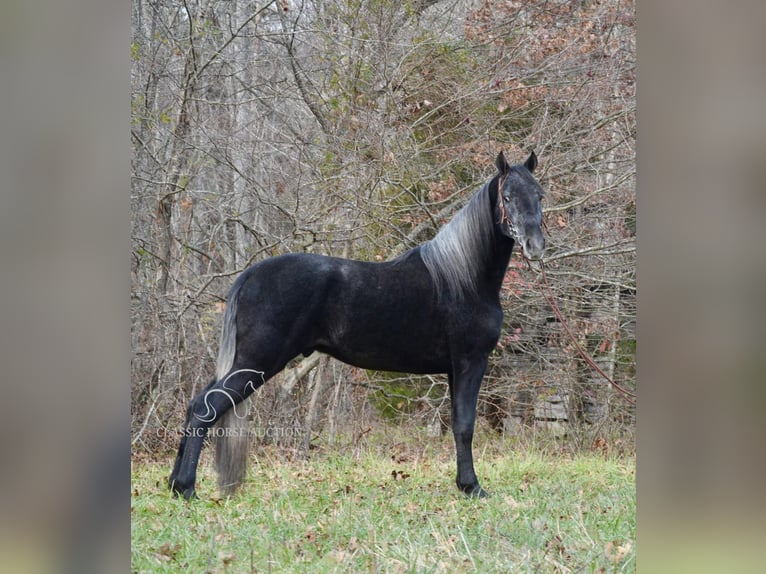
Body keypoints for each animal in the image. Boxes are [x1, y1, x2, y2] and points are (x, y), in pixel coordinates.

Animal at [171, 151, 548, 502]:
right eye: (507, 196)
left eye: (539, 194)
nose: (535, 245)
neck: (464, 278)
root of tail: (250, 275)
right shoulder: (471, 362)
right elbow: (466, 425)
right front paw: (473, 487)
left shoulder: (456, 369)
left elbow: (459, 423)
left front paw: (463, 484)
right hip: (256, 362)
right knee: (205, 410)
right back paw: (187, 489)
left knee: (196, 406)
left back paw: (176, 485)